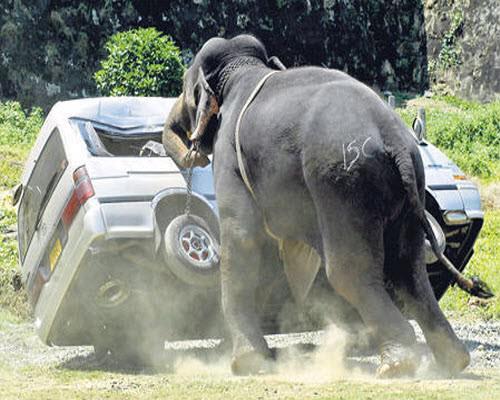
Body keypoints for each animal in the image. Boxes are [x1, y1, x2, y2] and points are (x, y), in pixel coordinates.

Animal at [162, 34, 470, 378]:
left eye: (185, 87)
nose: (191, 152)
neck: (244, 68)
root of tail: (396, 141)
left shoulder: (229, 154)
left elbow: (243, 237)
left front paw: (247, 363)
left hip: (342, 184)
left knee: (349, 270)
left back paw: (397, 365)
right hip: (408, 186)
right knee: (409, 268)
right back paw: (453, 361)